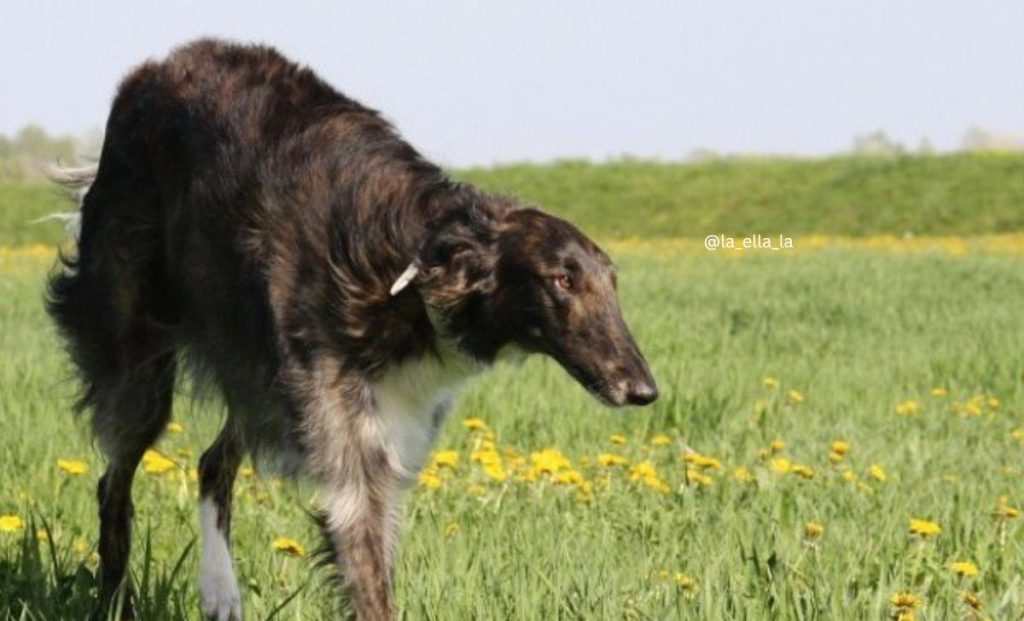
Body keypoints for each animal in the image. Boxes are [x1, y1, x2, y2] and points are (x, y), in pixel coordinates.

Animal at [46, 40, 655, 621]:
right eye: (562, 280)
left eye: (611, 283)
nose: (644, 390)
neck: (406, 270)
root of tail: (148, 74)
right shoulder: (352, 467)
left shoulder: (387, 452)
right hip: (143, 371)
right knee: (113, 486)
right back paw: (116, 604)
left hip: (258, 378)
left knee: (211, 463)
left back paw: (220, 594)